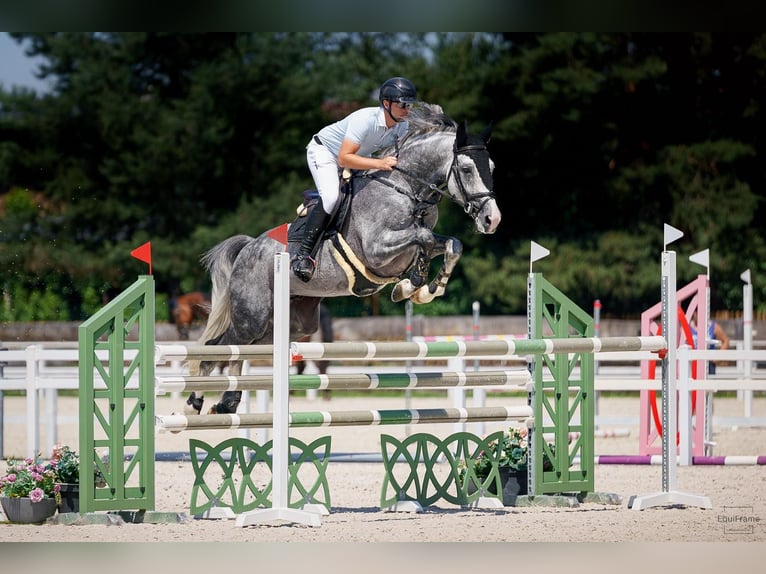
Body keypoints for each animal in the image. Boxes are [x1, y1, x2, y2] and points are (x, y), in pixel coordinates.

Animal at [186, 103, 501, 414]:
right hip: (253, 314)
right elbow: (421, 238)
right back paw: (197, 403)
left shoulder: (421, 241)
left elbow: (451, 244)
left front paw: (424, 288)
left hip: (291, 324)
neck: (406, 188)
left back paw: (227, 402)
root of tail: (248, 248)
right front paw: (412, 286)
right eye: (466, 169)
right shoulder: (377, 249)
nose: (492, 220)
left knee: (245, 348)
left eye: (492, 168)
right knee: (218, 348)